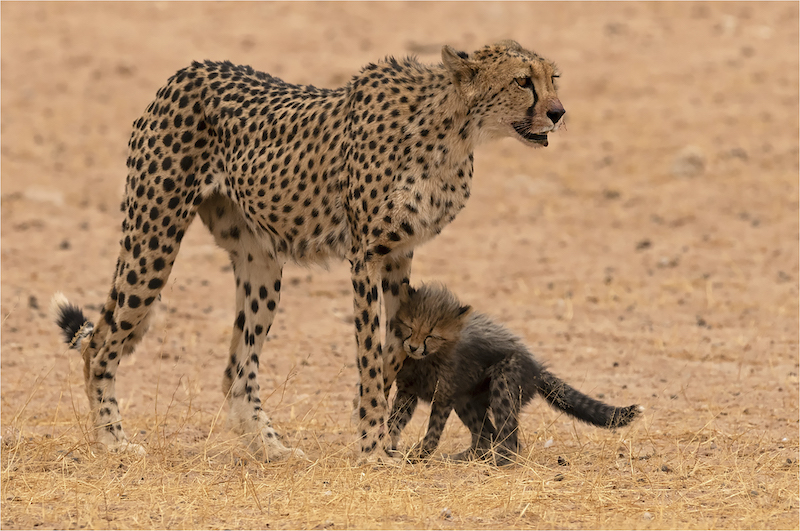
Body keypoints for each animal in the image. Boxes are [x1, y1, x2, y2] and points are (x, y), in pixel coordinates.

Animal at [51, 40, 566, 461]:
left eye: (552, 77)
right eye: (522, 81)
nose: (559, 113)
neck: (452, 131)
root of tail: (187, 71)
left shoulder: (398, 256)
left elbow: (392, 353)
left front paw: (381, 438)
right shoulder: (365, 256)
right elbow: (368, 355)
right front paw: (372, 448)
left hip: (261, 263)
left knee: (237, 369)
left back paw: (272, 448)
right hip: (154, 238)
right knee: (99, 346)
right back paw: (113, 440)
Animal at [387, 283, 642, 465]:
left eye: (431, 335)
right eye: (410, 327)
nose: (413, 347)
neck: (427, 358)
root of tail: (537, 368)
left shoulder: (443, 396)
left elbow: (433, 430)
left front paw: (419, 456)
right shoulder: (408, 392)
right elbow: (394, 420)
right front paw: (387, 445)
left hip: (503, 382)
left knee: (509, 440)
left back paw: (496, 461)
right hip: (467, 399)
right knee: (486, 435)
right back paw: (466, 458)